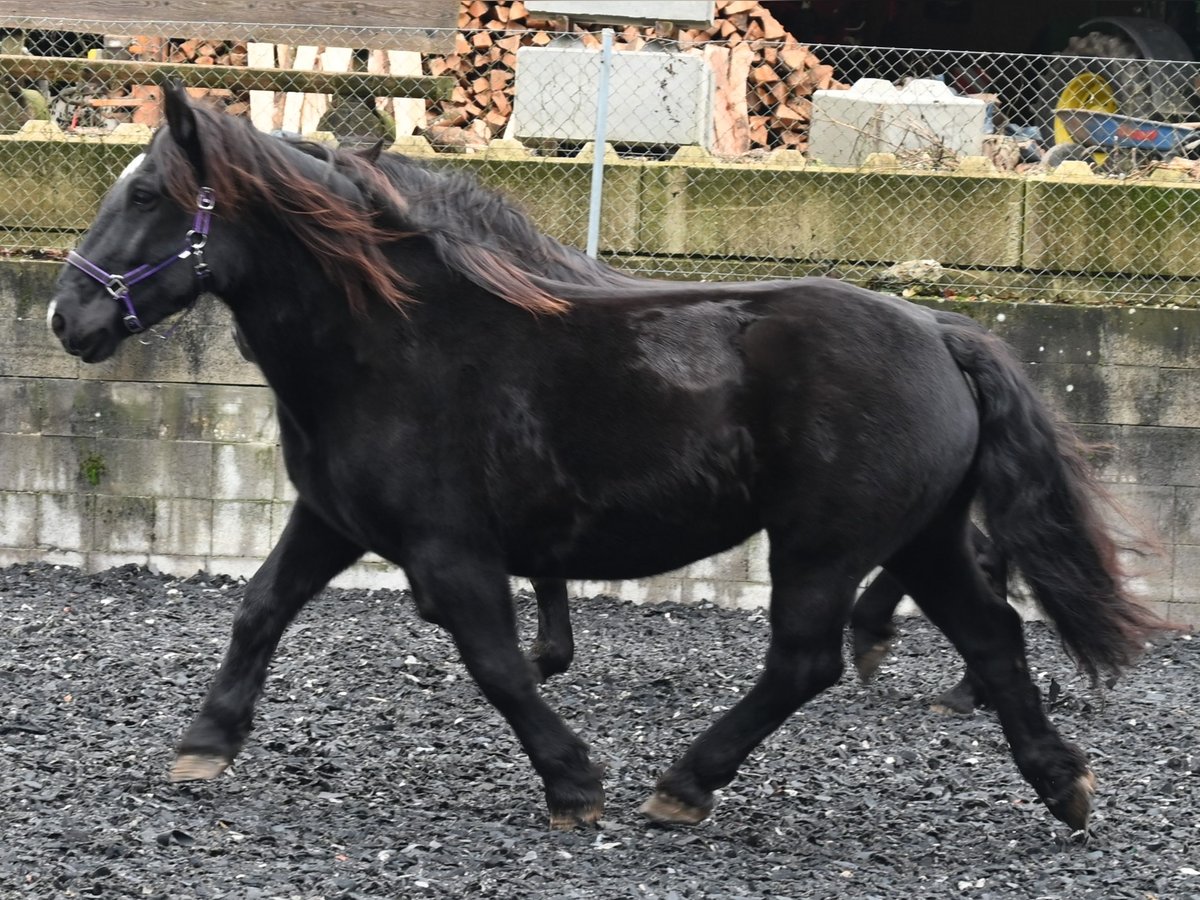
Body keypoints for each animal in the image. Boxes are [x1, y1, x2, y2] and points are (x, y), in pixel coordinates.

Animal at [49, 84, 1161, 830]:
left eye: (147, 196)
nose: (68, 318)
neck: (389, 339)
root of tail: (938, 329)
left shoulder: (450, 549)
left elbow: (498, 663)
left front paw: (573, 781)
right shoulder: (334, 519)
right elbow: (259, 609)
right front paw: (205, 745)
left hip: (826, 544)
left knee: (806, 660)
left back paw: (684, 785)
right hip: (922, 537)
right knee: (994, 640)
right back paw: (1063, 785)